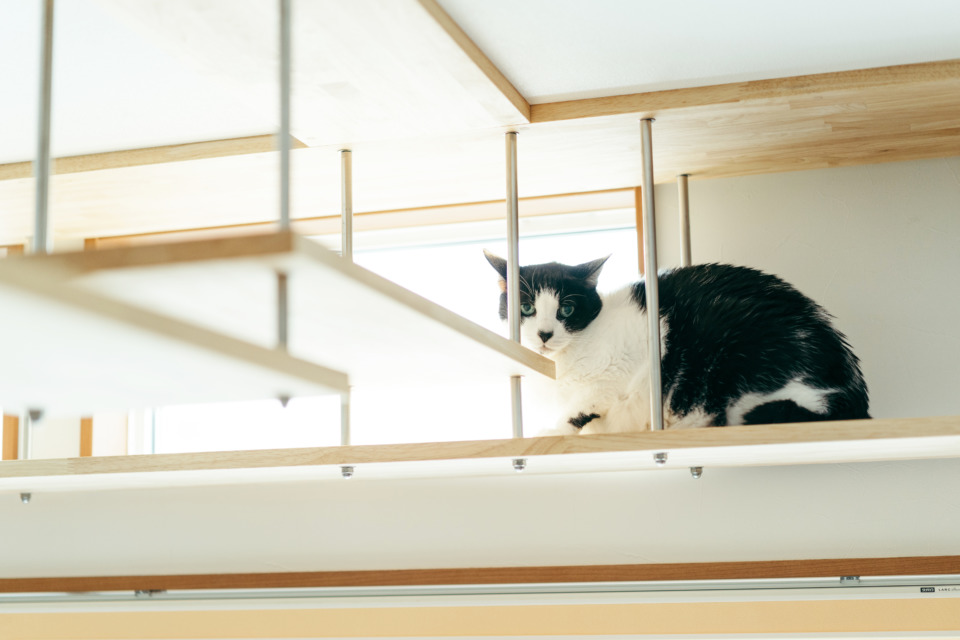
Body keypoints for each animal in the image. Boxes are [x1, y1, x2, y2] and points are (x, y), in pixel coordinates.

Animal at [484, 250, 870, 435]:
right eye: (527, 308)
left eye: (566, 309)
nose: (544, 334)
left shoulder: (627, 360)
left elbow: (585, 403)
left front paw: (551, 428)